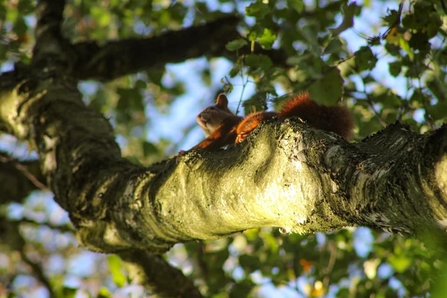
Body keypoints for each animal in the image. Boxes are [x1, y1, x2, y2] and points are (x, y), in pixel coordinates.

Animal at [181, 92, 354, 154]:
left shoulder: (226, 126)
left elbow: (211, 142)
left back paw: (242, 136)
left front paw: (181, 153)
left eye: (211, 108)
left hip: (250, 120)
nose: (199, 116)